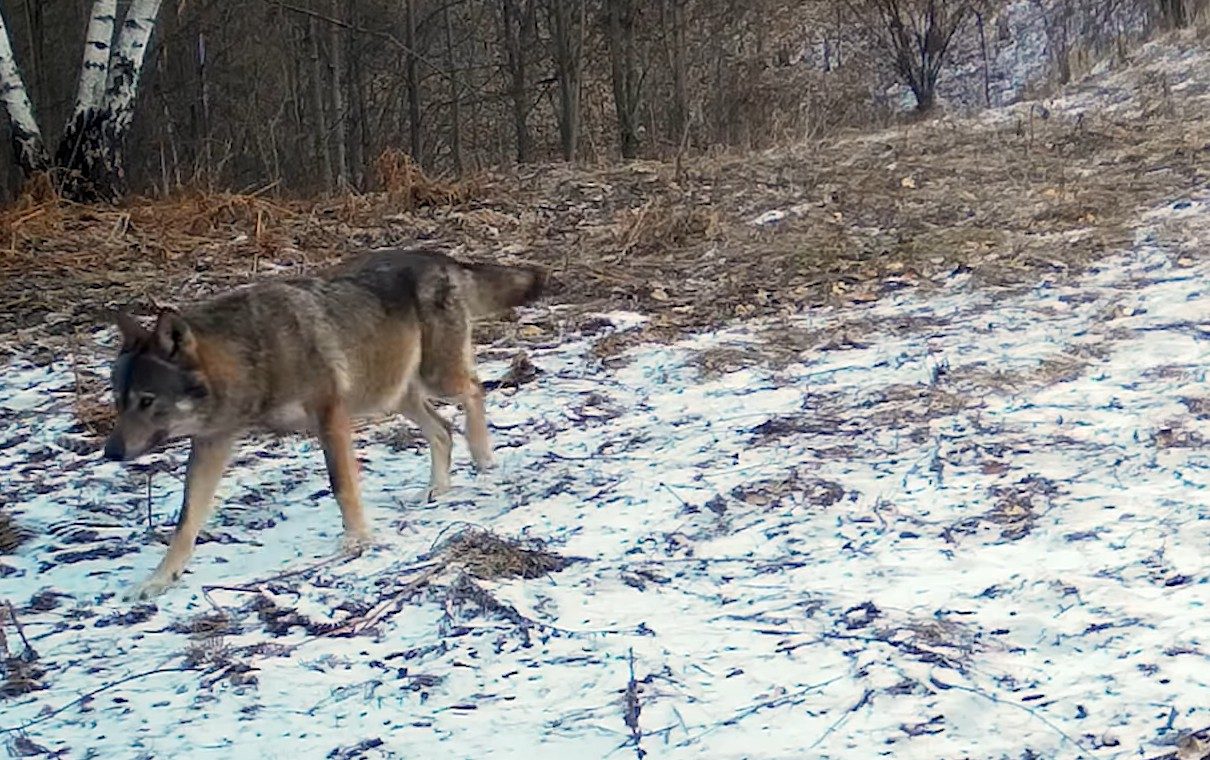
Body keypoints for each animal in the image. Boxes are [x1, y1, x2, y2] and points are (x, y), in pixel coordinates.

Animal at [105, 248, 549, 600]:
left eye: (147, 401)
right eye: (119, 401)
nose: (111, 452)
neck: (255, 357)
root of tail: (439, 256)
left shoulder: (330, 415)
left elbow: (342, 486)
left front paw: (357, 541)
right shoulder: (212, 443)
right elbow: (186, 520)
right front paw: (159, 579)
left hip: (434, 379)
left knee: (474, 391)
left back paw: (483, 457)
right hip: (391, 396)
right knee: (441, 429)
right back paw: (437, 489)